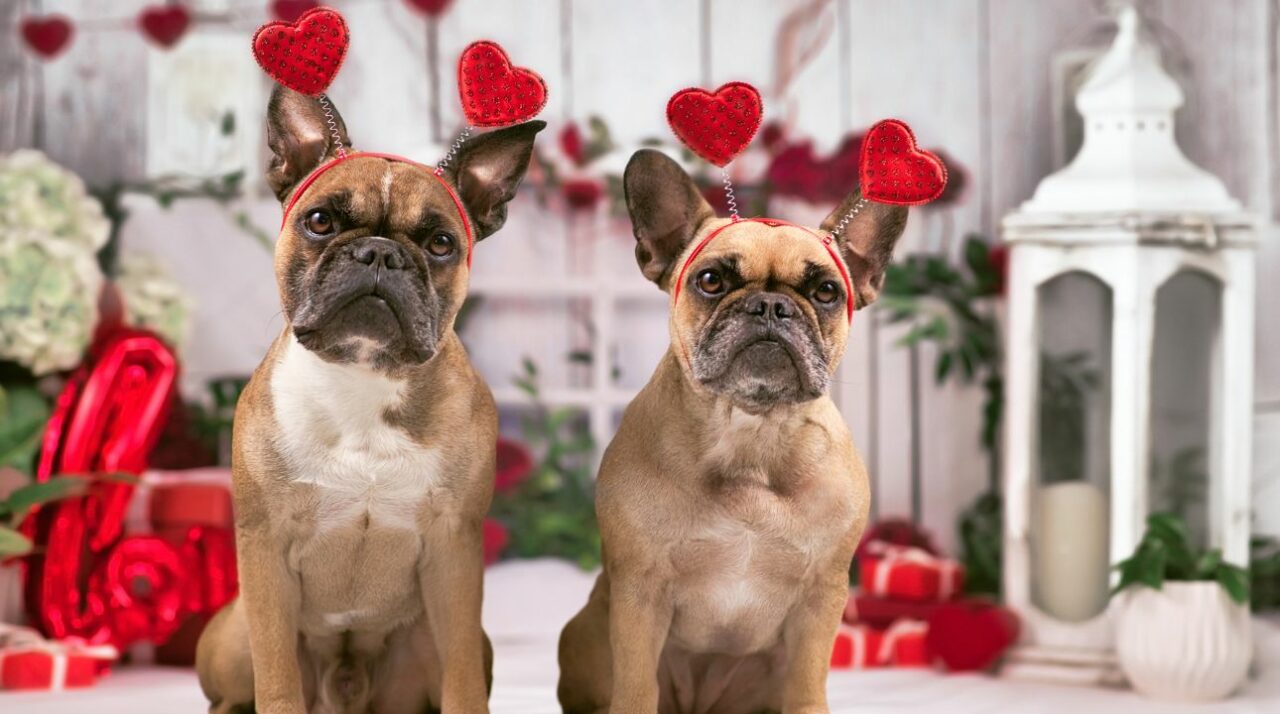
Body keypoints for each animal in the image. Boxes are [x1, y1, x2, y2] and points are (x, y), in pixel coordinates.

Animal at [194, 85, 545, 714]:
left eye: (440, 244)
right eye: (319, 220)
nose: (381, 253)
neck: (363, 375)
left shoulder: (455, 552)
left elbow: (461, 676)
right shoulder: (264, 548)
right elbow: (276, 675)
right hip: (235, 636)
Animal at [560, 148, 911, 711]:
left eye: (826, 291)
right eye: (711, 281)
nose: (770, 305)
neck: (751, 431)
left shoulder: (821, 597)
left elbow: (807, 686)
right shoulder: (639, 592)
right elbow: (635, 685)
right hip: (589, 626)